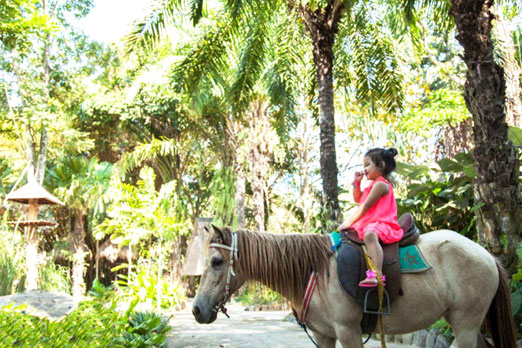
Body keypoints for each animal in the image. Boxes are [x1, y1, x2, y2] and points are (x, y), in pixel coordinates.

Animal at [193, 227, 512, 346]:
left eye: (217, 261)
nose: (197, 309)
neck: (315, 273)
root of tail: (487, 255)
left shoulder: (349, 333)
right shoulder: (323, 336)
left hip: (466, 322)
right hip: (466, 323)